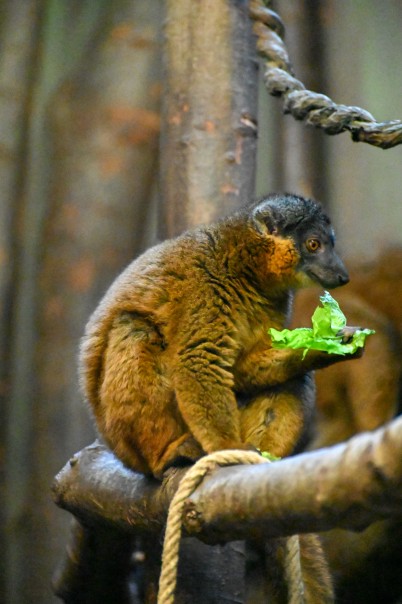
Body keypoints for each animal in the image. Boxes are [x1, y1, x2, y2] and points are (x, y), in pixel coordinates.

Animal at [80, 193, 361, 478]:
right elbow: (198, 359)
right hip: (129, 445)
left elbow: (242, 369)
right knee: (134, 328)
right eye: (314, 245)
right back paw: (164, 456)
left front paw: (325, 348)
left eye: (330, 245)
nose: (343, 275)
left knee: (295, 377)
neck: (244, 265)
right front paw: (228, 447)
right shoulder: (205, 287)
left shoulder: (277, 300)